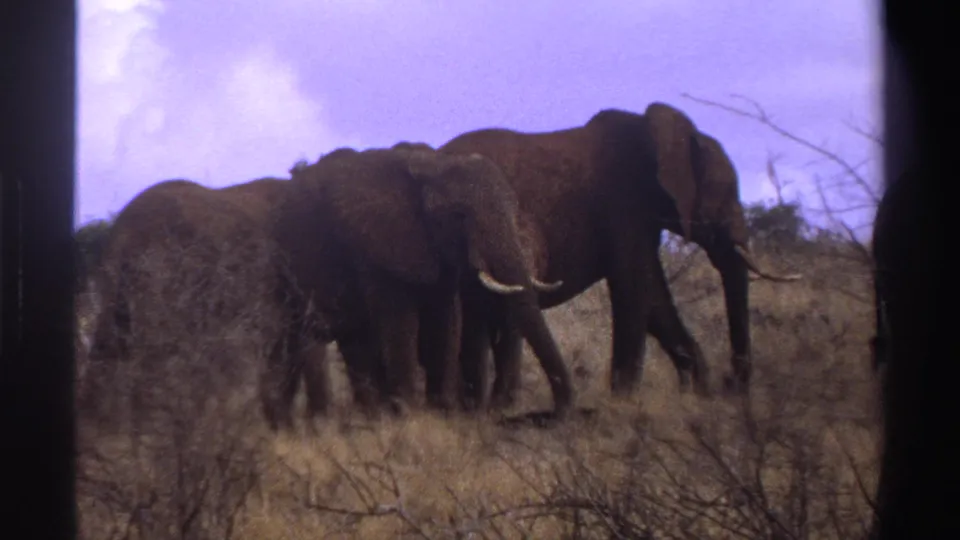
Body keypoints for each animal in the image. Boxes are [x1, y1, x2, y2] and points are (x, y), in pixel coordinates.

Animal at [269, 143, 575, 419]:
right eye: (459, 216)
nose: (555, 412)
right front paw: (411, 416)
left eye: (513, 211)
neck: (430, 167)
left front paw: (442, 412)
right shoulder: (378, 248)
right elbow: (400, 320)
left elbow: (447, 317)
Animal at [438, 101, 801, 409]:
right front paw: (624, 404)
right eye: (725, 196)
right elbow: (635, 288)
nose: (730, 384)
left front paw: (698, 394)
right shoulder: (625, 207)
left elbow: (654, 297)